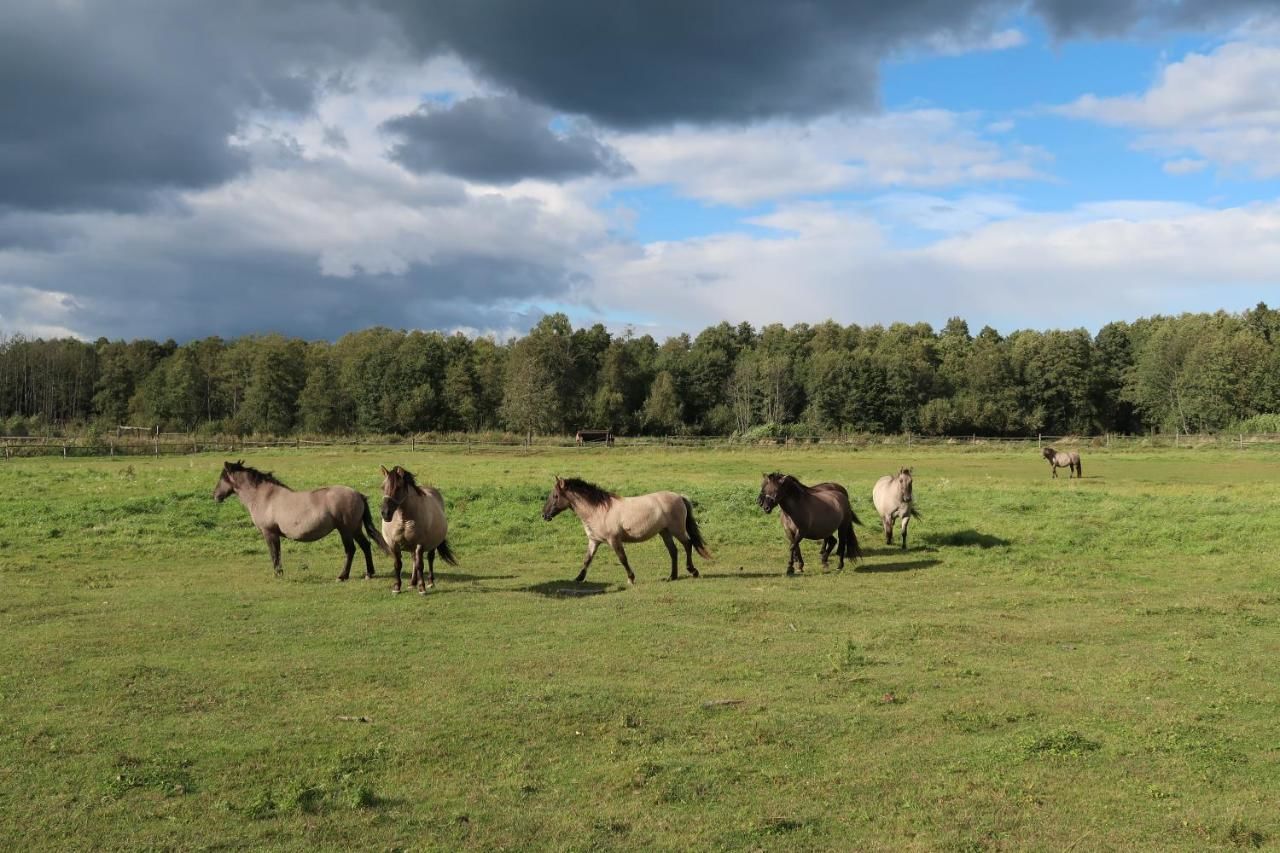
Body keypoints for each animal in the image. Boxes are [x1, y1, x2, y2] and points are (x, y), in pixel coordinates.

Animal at [213, 458, 389, 578]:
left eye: (222, 478)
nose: (215, 495)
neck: (265, 496)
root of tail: (358, 494)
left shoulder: (269, 533)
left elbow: (274, 554)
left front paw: (278, 574)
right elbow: (277, 553)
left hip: (345, 529)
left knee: (351, 550)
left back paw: (343, 576)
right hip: (355, 528)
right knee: (365, 545)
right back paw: (369, 573)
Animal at [540, 471, 711, 584]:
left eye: (555, 496)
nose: (544, 515)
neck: (599, 511)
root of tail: (679, 497)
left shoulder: (614, 540)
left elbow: (622, 558)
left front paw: (631, 578)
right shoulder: (594, 541)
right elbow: (587, 560)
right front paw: (578, 578)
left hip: (677, 529)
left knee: (688, 544)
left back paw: (693, 571)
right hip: (665, 532)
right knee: (673, 551)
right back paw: (672, 576)